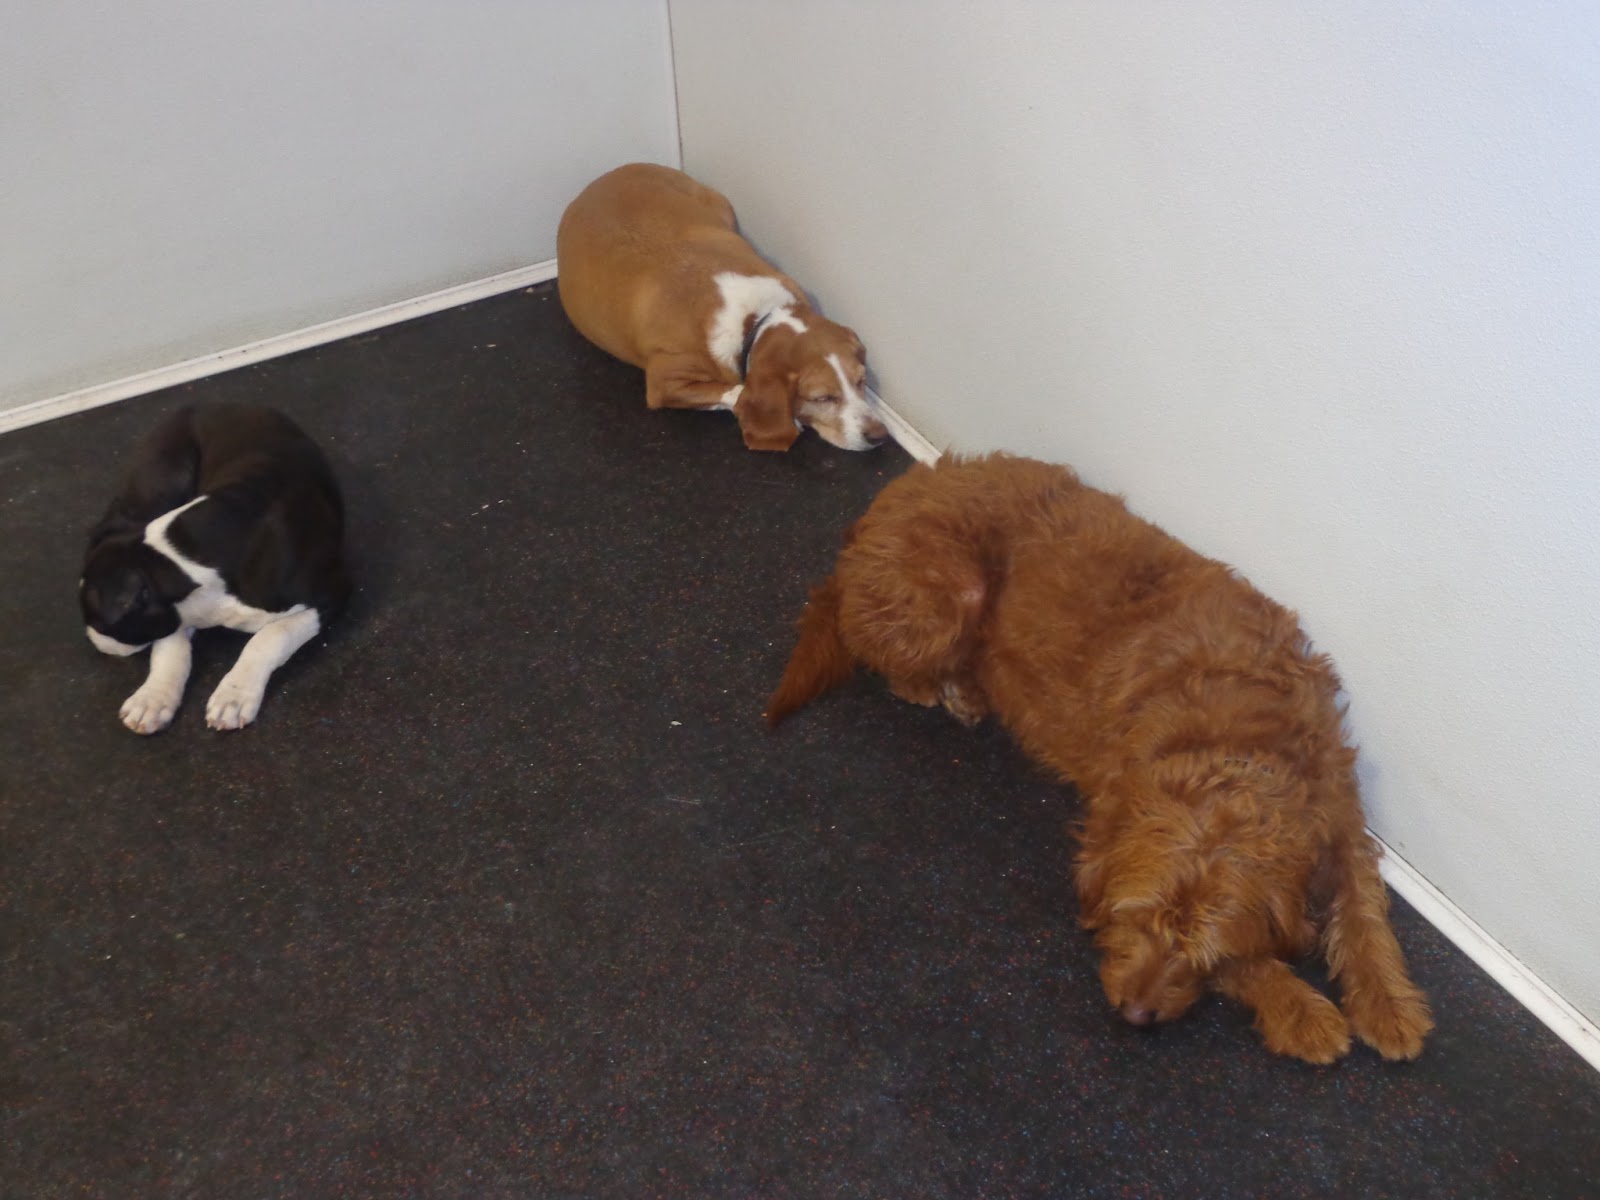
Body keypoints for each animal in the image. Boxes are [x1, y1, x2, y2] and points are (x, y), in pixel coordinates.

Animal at [80, 402, 350, 734]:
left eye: (101, 622)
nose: (93, 638)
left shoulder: (332, 592)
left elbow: (271, 636)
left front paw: (234, 696)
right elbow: (170, 646)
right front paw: (153, 699)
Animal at [556, 162, 887, 452]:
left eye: (861, 381)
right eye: (822, 398)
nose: (879, 435)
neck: (756, 319)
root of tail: (599, 180)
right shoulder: (663, 382)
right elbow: (738, 391)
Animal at [767, 453, 1432, 1064]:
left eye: (1199, 951)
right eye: (1132, 918)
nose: (1134, 1014)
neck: (1238, 734)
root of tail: (887, 502)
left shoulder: (1340, 819)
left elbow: (1366, 914)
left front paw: (1388, 1005)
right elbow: (1262, 959)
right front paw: (1299, 1007)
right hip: (948, 597)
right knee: (879, 650)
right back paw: (950, 688)